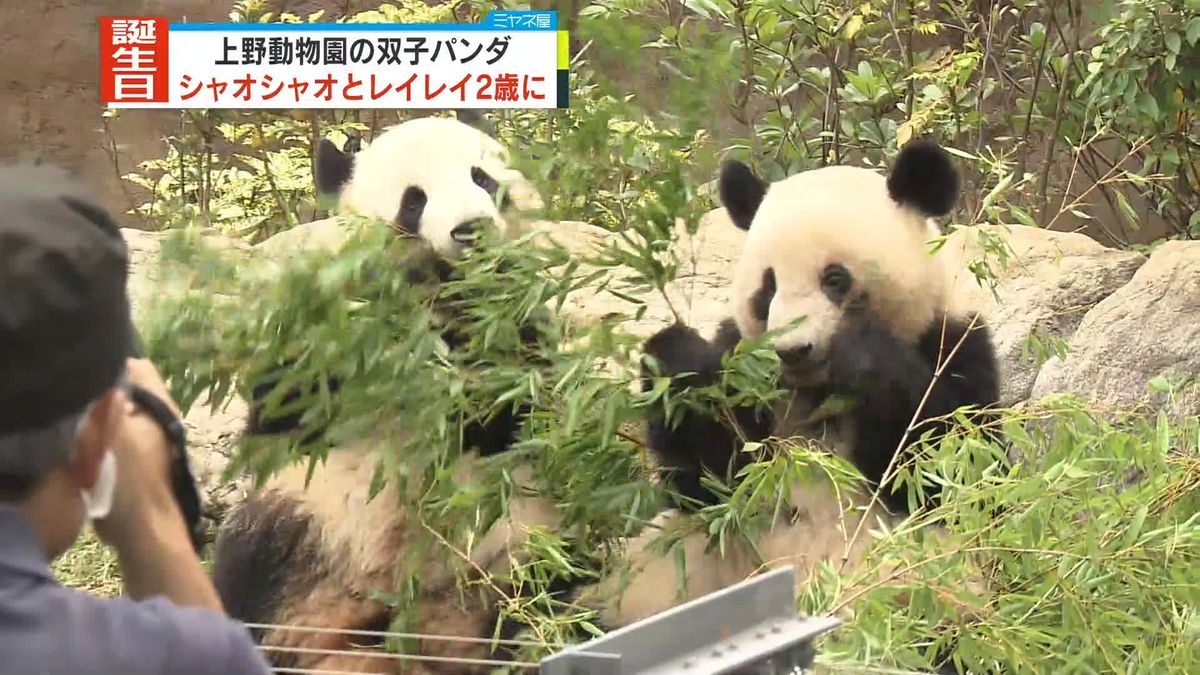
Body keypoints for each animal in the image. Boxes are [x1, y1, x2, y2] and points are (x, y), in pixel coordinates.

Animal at [210, 115, 561, 672]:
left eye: (482, 178)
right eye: (413, 201)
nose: (471, 229)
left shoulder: (520, 319)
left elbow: (521, 411)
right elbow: (285, 409)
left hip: (517, 538)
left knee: (547, 591)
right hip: (305, 519)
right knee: (250, 572)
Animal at [571, 139, 1003, 667]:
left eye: (835, 279)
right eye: (768, 286)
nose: (792, 350)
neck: (815, 391)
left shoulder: (957, 346)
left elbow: (948, 469)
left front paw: (864, 359)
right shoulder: (746, 373)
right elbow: (707, 483)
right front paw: (677, 357)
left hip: (930, 596)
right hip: (668, 582)